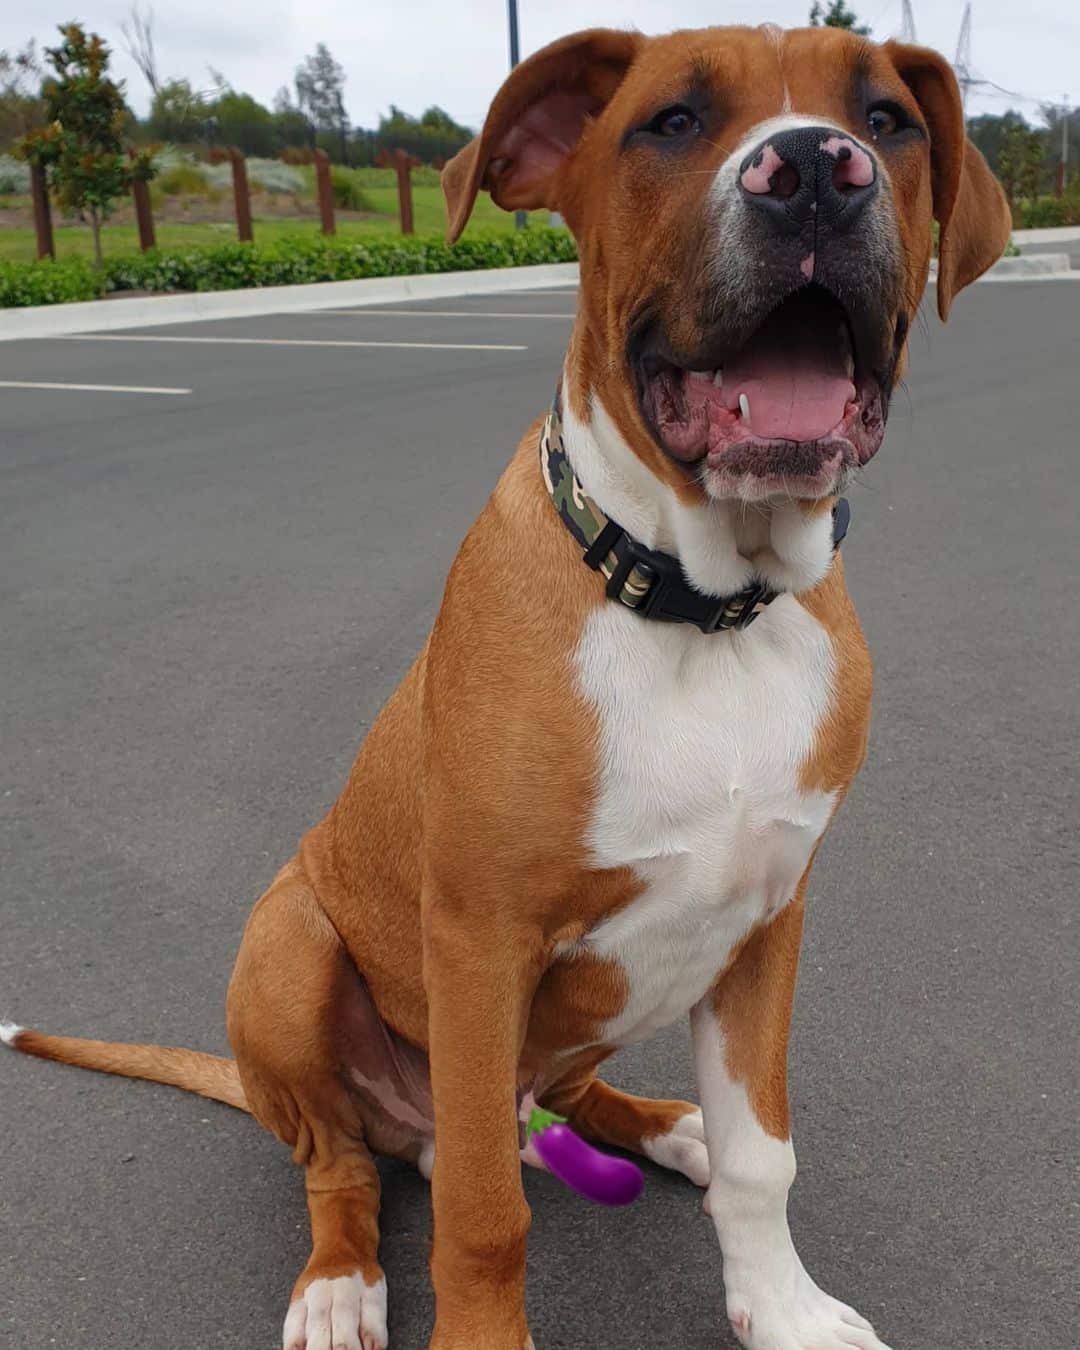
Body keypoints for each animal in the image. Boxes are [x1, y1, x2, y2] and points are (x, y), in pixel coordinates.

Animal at [4, 21, 1009, 1350]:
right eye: (672, 122)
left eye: (886, 121)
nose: (812, 171)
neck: (698, 608)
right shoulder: (480, 944)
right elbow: (486, 1211)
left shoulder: (769, 921)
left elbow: (763, 1159)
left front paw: (783, 1308)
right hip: (288, 945)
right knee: (344, 1164)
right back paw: (339, 1283)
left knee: (573, 1099)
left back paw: (664, 1125)